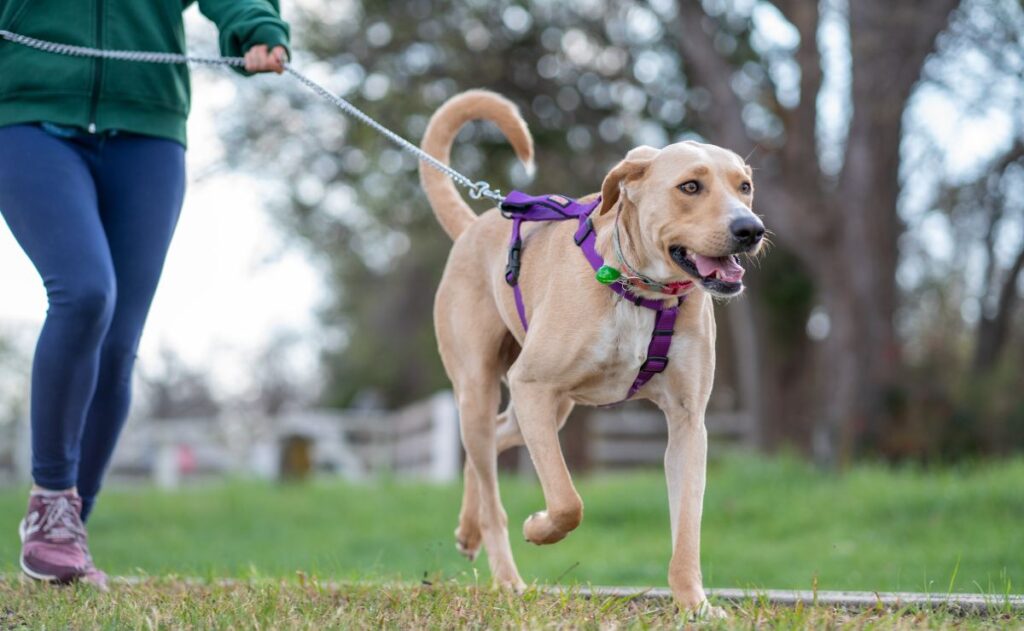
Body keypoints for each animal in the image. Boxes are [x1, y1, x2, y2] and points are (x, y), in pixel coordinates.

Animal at [419, 90, 765, 614]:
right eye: (690, 186)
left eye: (744, 186)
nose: (752, 229)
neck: (641, 291)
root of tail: (476, 225)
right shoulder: (531, 385)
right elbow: (567, 501)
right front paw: (539, 529)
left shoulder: (688, 422)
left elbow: (688, 528)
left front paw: (694, 603)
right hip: (483, 389)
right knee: (491, 484)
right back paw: (506, 577)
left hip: (548, 408)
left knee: (489, 448)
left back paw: (467, 528)